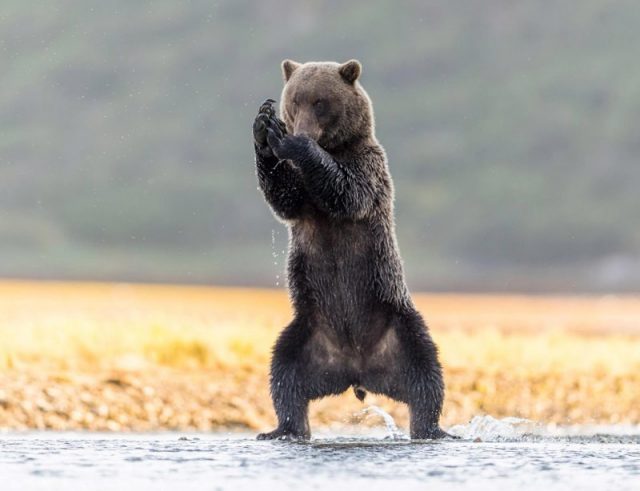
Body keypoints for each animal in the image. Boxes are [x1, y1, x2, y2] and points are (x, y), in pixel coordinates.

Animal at [252, 59, 448, 440]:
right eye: (294, 100)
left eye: (320, 102)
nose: (303, 129)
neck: (334, 147)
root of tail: (356, 368)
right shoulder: (303, 201)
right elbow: (285, 197)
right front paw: (263, 127)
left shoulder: (368, 166)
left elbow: (347, 192)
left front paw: (290, 140)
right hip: (307, 332)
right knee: (284, 373)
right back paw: (283, 427)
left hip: (397, 322)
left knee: (426, 372)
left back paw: (431, 428)